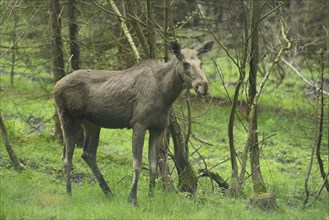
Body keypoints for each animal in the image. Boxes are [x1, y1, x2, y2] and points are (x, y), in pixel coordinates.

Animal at [53, 41, 213, 206]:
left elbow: (153, 164)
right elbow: (137, 163)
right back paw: (69, 192)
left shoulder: (158, 128)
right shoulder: (139, 124)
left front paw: (151, 196)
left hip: (92, 124)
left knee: (87, 153)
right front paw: (133, 199)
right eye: (186, 63)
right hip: (68, 117)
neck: (166, 94)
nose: (204, 86)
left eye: (201, 63)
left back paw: (108, 192)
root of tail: (55, 86)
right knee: (67, 156)